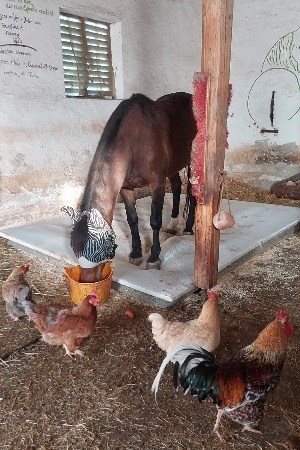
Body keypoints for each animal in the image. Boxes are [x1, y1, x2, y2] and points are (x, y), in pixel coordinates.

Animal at [61, 91, 196, 282]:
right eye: (75, 250)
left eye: (98, 252)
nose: (89, 284)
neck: (135, 141)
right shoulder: (126, 188)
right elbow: (132, 220)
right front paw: (136, 253)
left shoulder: (157, 183)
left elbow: (155, 221)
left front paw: (154, 258)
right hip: (174, 166)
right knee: (177, 186)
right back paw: (173, 223)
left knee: (192, 192)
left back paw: (188, 228)